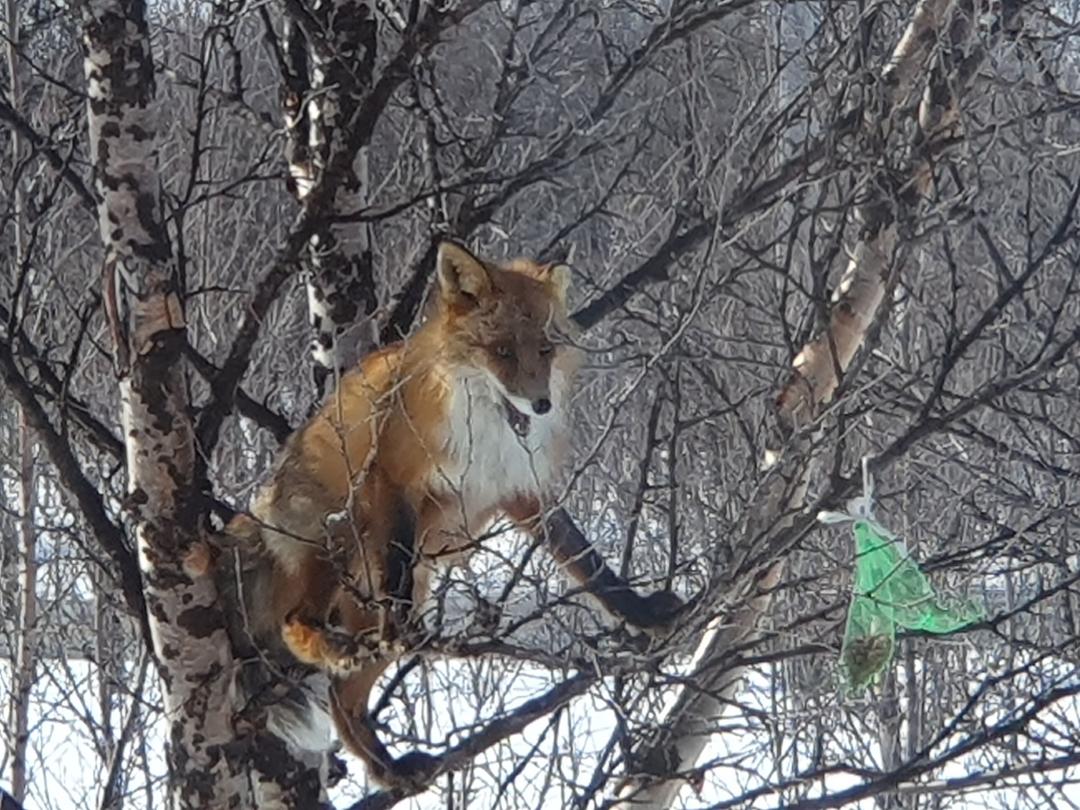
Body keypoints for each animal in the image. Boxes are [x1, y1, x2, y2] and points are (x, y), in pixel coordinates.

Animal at [227, 240, 682, 786]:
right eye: (501, 351)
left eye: (545, 350)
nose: (541, 405)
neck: (488, 423)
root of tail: (261, 506)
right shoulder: (391, 477)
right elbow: (396, 568)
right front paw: (401, 628)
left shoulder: (522, 491)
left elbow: (588, 564)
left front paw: (641, 613)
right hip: (341, 529)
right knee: (297, 622)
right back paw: (332, 648)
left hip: (385, 594)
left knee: (343, 697)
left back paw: (388, 770)